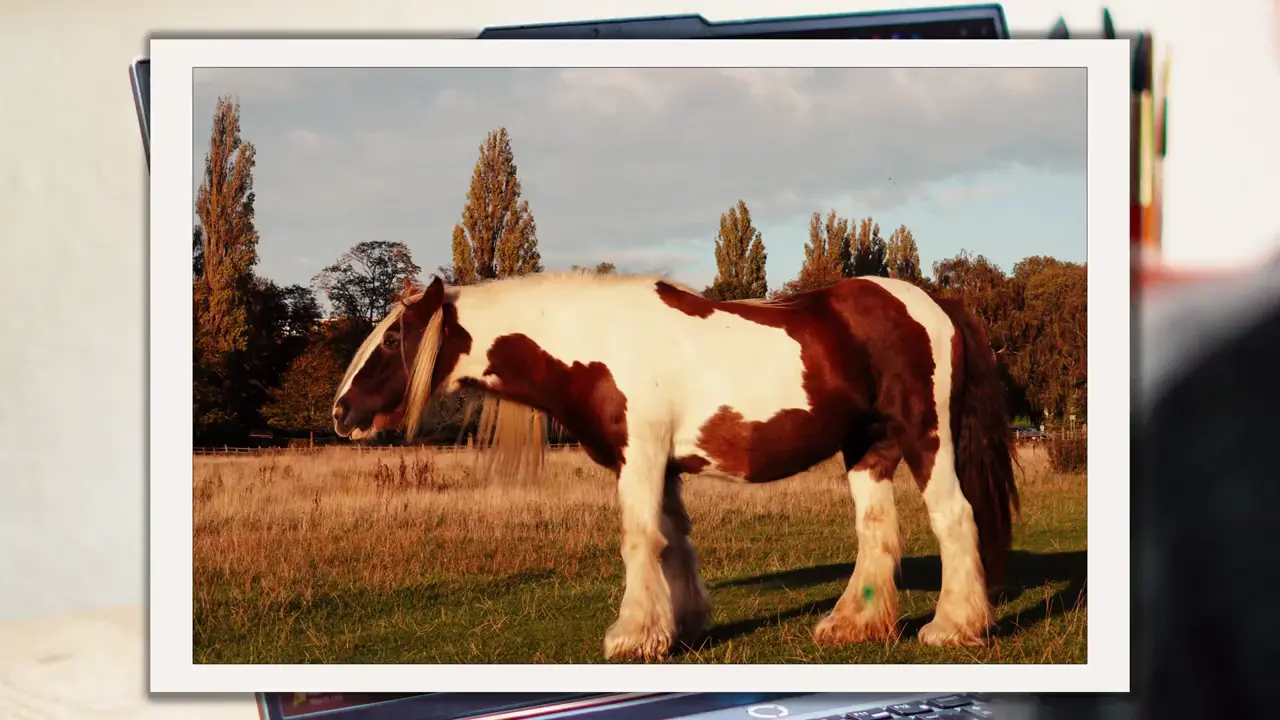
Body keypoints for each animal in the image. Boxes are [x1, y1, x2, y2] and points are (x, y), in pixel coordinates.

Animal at [331, 271, 1019, 662]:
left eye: (392, 339)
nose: (341, 411)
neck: (596, 341)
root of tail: (935, 304)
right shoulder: (660, 466)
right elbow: (673, 542)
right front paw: (681, 628)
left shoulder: (639, 457)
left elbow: (640, 541)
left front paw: (632, 638)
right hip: (868, 449)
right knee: (876, 532)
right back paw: (853, 626)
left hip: (925, 437)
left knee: (954, 518)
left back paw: (953, 628)